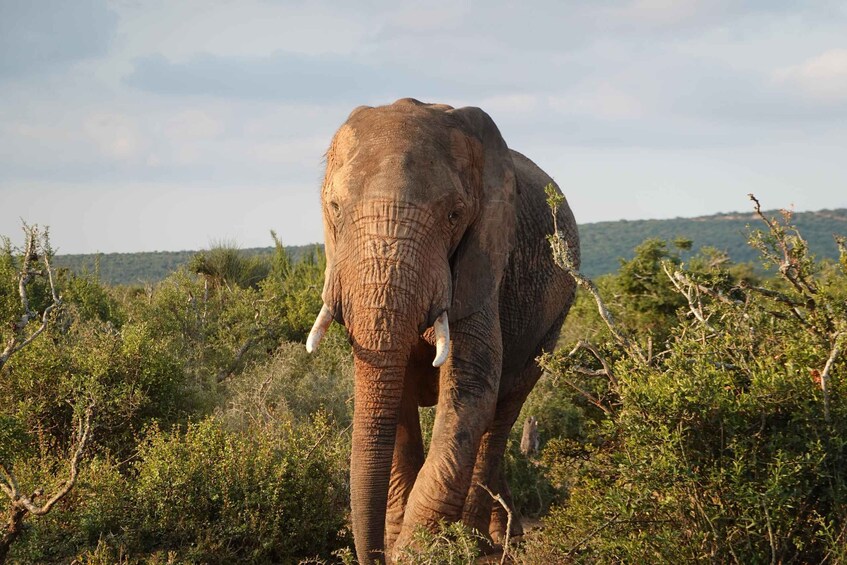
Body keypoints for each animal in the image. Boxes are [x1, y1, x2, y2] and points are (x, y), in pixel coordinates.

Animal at [306, 98, 579, 563]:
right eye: (336, 208)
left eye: (454, 215)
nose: (373, 556)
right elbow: (389, 396)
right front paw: (399, 540)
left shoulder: (484, 266)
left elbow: (469, 390)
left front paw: (415, 552)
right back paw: (503, 535)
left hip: (553, 320)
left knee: (503, 411)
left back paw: (482, 541)